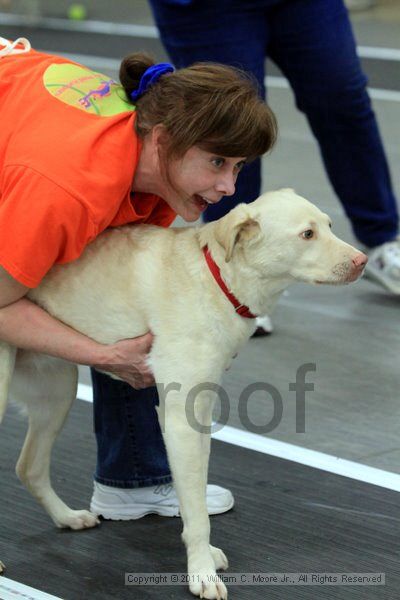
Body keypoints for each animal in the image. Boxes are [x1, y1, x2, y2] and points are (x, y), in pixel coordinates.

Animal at [0, 191, 368, 596]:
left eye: (330, 225)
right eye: (307, 234)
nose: (362, 261)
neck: (218, 280)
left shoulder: (200, 414)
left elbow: (195, 500)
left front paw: (204, 557)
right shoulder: (180, 421)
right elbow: (197, 515)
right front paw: (201, 574)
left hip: (57, 391)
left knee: (28, 467)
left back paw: (67, 517)